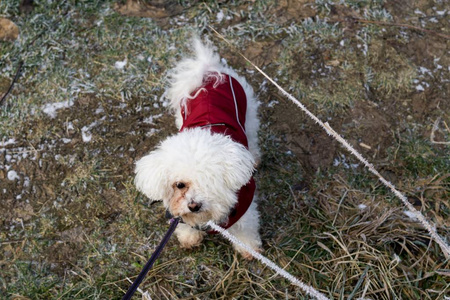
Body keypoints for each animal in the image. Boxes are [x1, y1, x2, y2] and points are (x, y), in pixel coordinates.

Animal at [134, 37, 262, 258]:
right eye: (179, 185)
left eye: (210, 180)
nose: (194, 205)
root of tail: (208, 71)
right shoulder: (178, 212)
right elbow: (183, 222)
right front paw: (189, 237)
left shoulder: (245, 207)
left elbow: (245, 230)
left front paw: (249, 249)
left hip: (248, 113)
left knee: (252, 138)